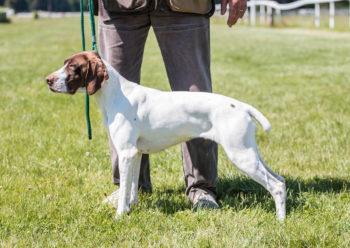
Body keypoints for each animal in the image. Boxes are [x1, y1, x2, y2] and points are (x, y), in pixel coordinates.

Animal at [46, 50, 286, 221]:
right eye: (65, 63)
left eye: (73, 66)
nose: (48, 79)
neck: (116, 94)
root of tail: (242, 106)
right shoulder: (135, 154)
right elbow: (131, 187)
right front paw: (131, 208)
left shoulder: (125, 153)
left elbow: (124, 190)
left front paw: (119, 215)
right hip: (249, 153)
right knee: (281, 180)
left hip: (241, 155)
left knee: (276, 186)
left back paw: (280, 221)